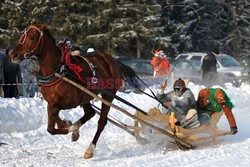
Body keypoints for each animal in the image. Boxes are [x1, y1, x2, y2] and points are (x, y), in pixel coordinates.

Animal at [9, 21, 136, 158]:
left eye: (32, 36)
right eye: (21, 35)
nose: (14, 54)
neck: (58, 70)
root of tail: (113, 60)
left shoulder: (72, 101)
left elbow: (56, 113)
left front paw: (68, 126)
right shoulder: (51, 102)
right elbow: (50, 126)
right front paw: (70, 128)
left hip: (108, 95)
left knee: (101, 122)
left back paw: (90, 149)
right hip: (87, 96)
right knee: (90, 113)